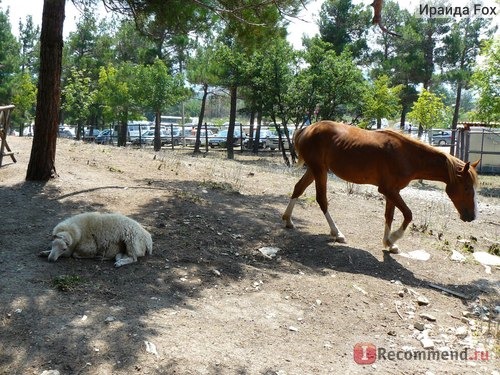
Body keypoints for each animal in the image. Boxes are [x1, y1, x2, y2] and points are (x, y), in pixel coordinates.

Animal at [284, 122, 478, 254]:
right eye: (467, 187)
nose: (471, 216)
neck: (407, 155)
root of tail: (307, 129)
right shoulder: (388, 190)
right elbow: (408, 214)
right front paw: (393, 238)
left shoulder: (393, 191)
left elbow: (389, 216)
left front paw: (389, 243)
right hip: (319, 170)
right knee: (321, 200)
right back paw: (337, 233)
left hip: (315, 169)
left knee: (298, 189)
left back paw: (288, 220)